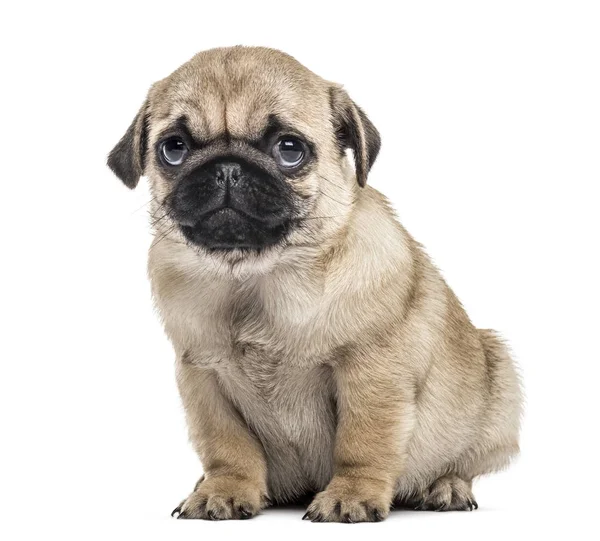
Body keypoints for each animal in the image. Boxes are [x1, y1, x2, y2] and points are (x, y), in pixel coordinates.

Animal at [108, 47, 520, 524]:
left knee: (464, 463)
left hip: (496, 385)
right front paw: (224, 489)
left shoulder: (370, 372)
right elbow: (227, 446)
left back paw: (445, 486)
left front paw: (351, 494)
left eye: (289, 149)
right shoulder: (203, 378)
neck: (256, 277)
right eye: (173, 148)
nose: (227, 169)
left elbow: (362, 441)